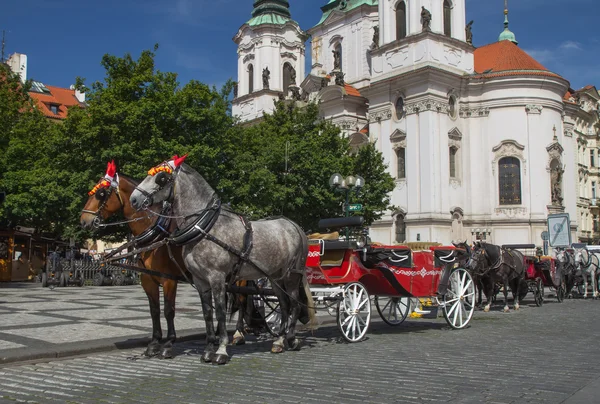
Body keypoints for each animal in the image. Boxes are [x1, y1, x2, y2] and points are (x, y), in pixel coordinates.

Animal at [79, 160, 186, 356]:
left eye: (101, 193)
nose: (84, 220)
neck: (155, 230)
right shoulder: (147, 279)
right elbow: (154, 310)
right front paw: (154, 343)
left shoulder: (169, 280)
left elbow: (169, 310)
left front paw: (168, 343)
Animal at [129, 156, 316, 364]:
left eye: (161, 177)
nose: (133, 199)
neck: (205, 227)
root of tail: (295, 226)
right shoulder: (200, 281)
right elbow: (207, 313)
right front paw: (208, 349)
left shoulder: (217, 277)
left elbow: (219, 312)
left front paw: (221, 350)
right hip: (275, 277)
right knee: (283, 304)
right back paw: (279, 341)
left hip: (292, 275)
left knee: (294, 304)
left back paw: (291, 339)